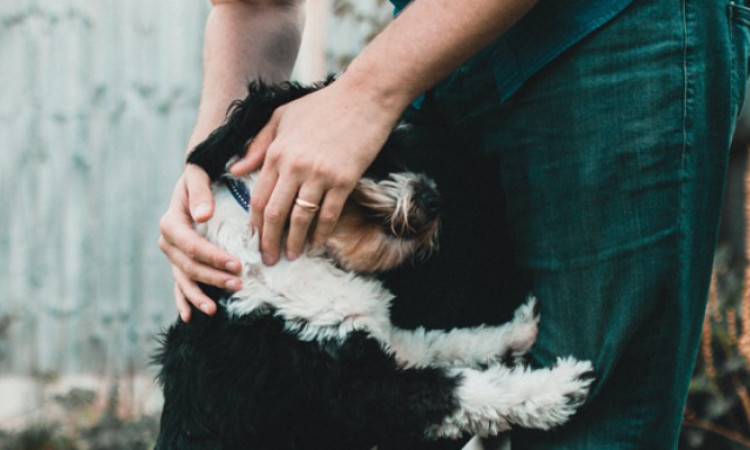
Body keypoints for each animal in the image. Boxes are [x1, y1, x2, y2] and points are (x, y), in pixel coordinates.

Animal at [156, 81, 596, 450]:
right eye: (372, 150)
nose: (435, 201)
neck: (285, 247)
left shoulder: (388, 344)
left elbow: (450, 342)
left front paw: (520, 329)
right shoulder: (358, 392)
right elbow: (463, 390)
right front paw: (556, 388)